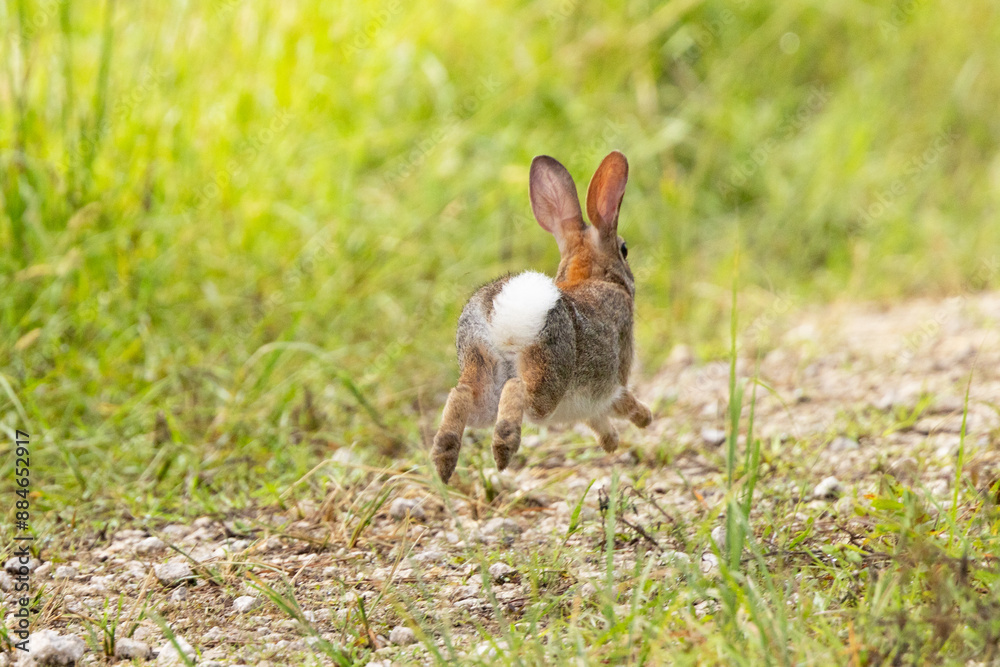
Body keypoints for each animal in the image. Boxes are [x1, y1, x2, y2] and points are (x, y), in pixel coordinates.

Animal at [431, 150, 652, 484]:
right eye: (624, 249)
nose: (627, 260)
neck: (592, 276)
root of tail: (504, 306)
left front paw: (612, 441)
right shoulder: (614, 380)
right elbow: (615, 404)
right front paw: (640, 421)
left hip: (480, 362)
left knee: (463, 393)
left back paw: (444, 458)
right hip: (549, 373)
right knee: (519, 390)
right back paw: (504, 447)